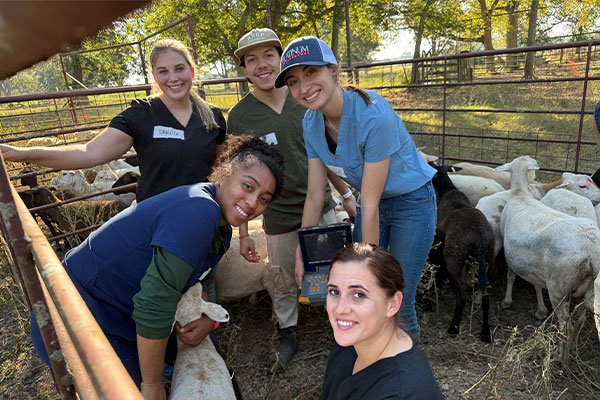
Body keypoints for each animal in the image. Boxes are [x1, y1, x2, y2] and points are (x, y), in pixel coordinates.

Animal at [428, 161, 494, 342]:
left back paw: (453, 327)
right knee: (486, 297)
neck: (448, 191)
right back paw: (485, 332)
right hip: (489, 260)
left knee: (462, 297)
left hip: (454, 259)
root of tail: (479, 240)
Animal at [494, 155, 600, 336]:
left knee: (564, 323)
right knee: (580, 318)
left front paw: (506, 301)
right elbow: (536, 285)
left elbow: (511, 275)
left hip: (558, 289)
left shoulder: (511, 255)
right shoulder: (534, 266)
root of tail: (591, 253)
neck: (520, 194)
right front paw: (540, 310)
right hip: (591, 290)